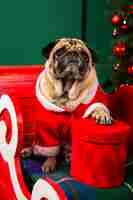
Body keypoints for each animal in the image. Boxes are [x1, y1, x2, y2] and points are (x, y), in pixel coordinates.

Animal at [21, 38, 112, 173]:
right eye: (59, 52)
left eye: (85, 56)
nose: (73, 54)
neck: (67, 92)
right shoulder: (47, 127)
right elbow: (50, 150)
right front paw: (49, 163)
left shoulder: (95, 99)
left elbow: (99, 106)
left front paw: (103, 115)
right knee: (36, 145)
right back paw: (27, 150)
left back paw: (69, 156)